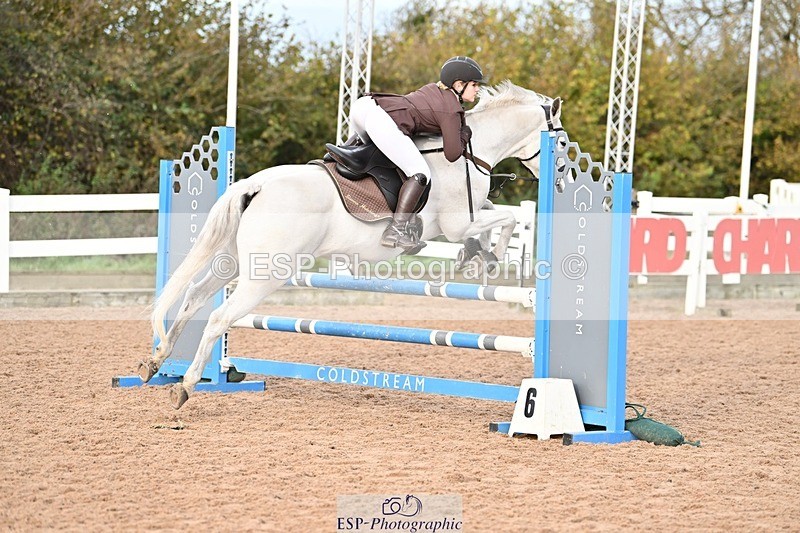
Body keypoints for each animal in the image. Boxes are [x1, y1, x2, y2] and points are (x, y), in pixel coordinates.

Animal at [140, 80, 564, 409]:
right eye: (560, 139)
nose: (560, 180)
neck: (473, 148)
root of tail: (256, 184)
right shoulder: (457, 222)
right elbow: (505, 218)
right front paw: (490, 256)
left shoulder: (463, 220)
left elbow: (494, 212)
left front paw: (478, 253)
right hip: (266, 274)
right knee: (218, 318)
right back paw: (186, 385)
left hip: (235, 262)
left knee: (193, 296)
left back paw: (157, 361)